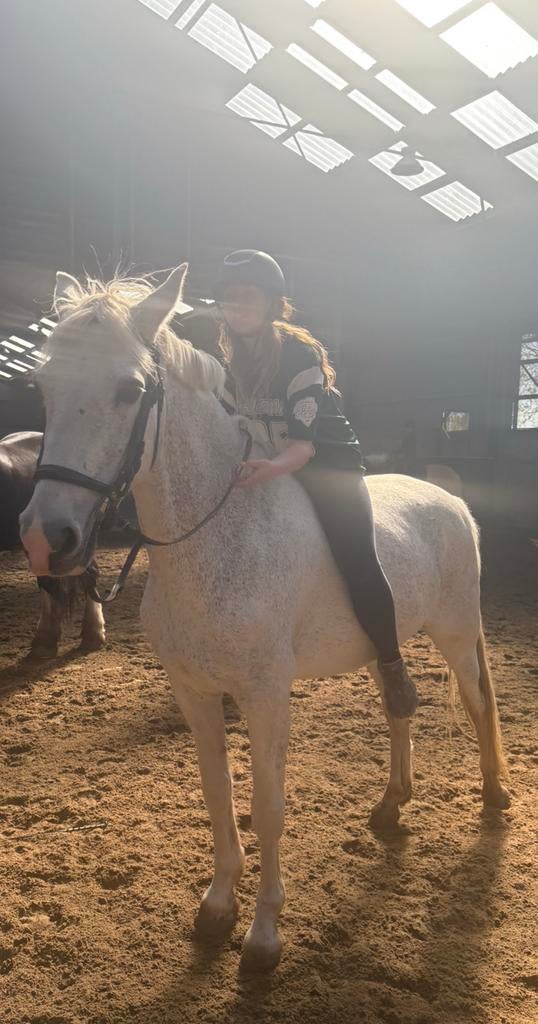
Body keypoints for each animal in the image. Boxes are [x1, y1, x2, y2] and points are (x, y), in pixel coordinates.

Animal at [19, 267, 510, 972]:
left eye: (130, 389)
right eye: (43, 386)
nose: (46, 538)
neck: (218, 533)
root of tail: (451, 500)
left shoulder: (266, 694)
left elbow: (268, 807)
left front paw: (263, 935)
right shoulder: (195, 692)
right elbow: (218, 794)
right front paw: (217, 908)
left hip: (455, 634)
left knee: (476, 704)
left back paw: (494, 799)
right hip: (384, 644)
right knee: (398, 706)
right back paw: (392, 805)